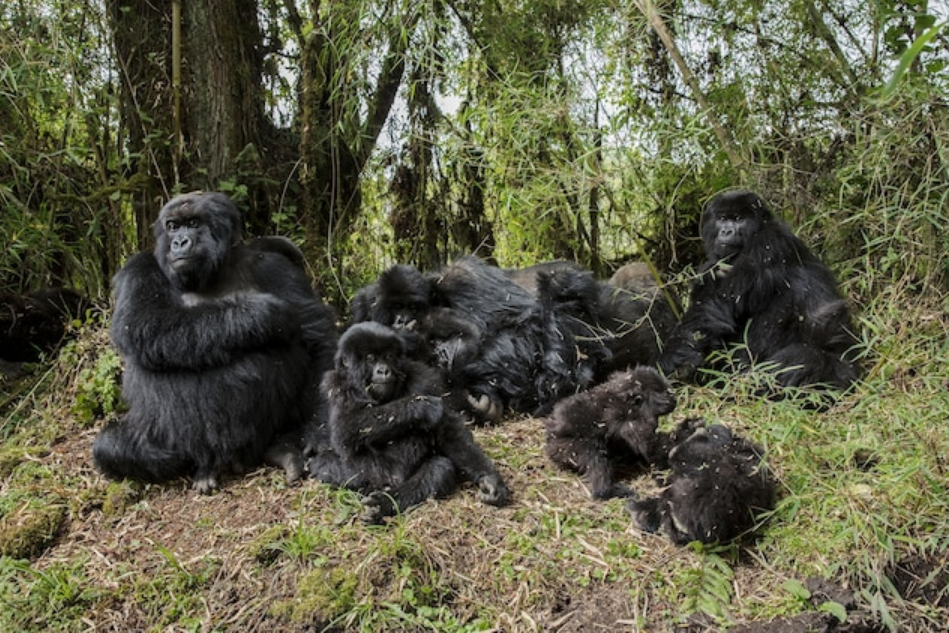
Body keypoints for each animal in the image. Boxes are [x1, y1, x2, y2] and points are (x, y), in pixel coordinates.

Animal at [92, 190, 336, 492]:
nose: (179, 242)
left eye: (194, 223)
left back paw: (282, 448)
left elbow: (317, 339)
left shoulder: (274, 266)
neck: (214, 271)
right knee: (111, 446)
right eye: (172, 226)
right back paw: (203, 467)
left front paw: (317, 432)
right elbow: (145, 323)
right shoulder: (138, 268)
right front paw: (261, 315)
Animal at [310, 320, 512, 524]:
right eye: (370, 358)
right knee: (324, 464)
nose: (383, 370)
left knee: (440, 468)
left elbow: (449, 430)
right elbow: (345, 429)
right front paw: (422, 406)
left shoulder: (424, 377)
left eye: (388, 356)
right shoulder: (336, 385)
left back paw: (385, 504)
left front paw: (490, 480)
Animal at [540, 366, 672, 498]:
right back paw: (606, 491)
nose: (673, 400)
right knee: (594, 454)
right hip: (564, 447)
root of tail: (549, 439)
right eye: (663, 395)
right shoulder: (626, 418)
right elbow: (649, 446)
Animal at [660, 188, 860, 388]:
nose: (726, 230)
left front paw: (671, 357)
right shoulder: (709, 267)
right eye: (722, 218)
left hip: (840, 371)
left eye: (739, 219)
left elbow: (717, 303)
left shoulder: (769, 241)